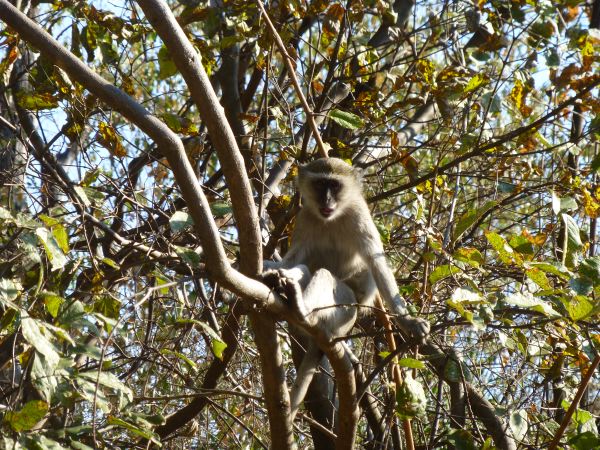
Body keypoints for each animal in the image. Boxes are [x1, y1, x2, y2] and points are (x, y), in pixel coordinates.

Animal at [264, 156, 432, 420]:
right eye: (320, 185)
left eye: (334, 186)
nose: (326, 201)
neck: (331, 218)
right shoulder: (305, 217)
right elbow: (292, 259)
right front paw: (269, 268)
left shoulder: (358, 215)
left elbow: (376, 263)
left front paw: (409, 322)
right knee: (305, 268)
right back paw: (285, 285)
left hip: (346, 308)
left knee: (324, 275)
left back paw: (301, 307)